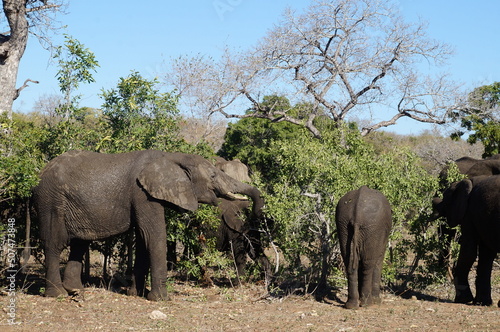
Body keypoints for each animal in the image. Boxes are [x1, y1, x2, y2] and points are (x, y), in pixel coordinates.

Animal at [32, 150, 264, 300]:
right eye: (213, 175)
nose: (253, 213)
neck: (171, 157)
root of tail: (40, 171)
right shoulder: (143, 194)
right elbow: (153, 235)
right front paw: (160, 299)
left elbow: (144, 238)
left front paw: (136, 294)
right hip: (50, 200)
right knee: (54, 243)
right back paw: (58, 295)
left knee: (80, 244)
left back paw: (76, 292)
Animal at [434, 175, 500, 308]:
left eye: (446, 199)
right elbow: (486, 256)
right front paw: (482, 303)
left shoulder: (468, 213)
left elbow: (468, 252)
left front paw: (462, 299)